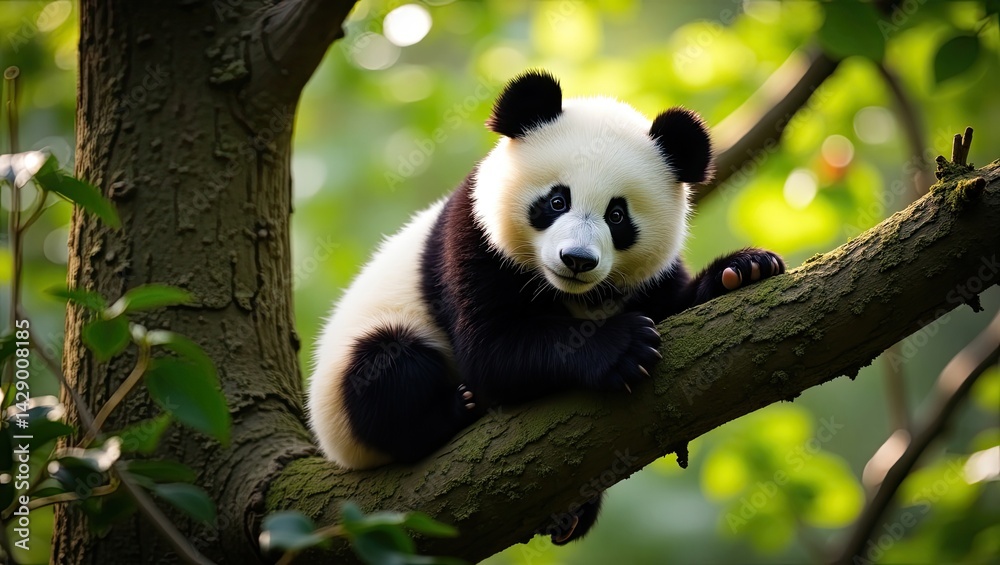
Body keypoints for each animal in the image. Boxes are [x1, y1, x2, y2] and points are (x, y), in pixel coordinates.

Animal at [307, 70, 784, 545]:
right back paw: (455, 410)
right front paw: (623, 346)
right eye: (557, 201)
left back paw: (570, 514)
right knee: (389, 369)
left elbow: (676, 305)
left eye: (617, 215)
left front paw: (742, 270)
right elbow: (491, 351)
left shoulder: (649, 278)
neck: (574, 295)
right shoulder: (475, 240)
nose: (577, 259)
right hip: (349, 382)